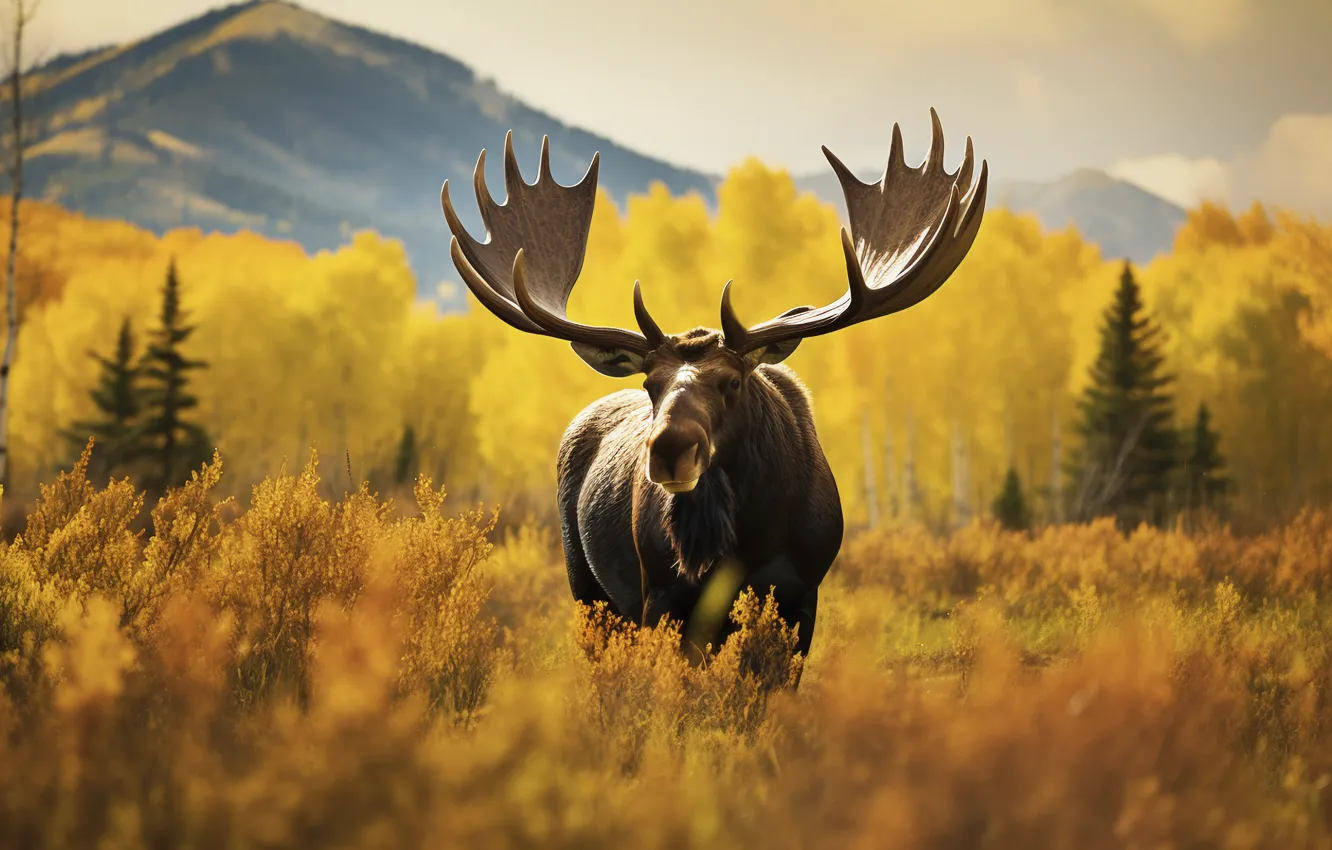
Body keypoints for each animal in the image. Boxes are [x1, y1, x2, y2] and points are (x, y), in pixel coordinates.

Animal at [440, 109, 987, 672]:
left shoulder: (802, 595)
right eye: (650, 384)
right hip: (587, 589)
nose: (669, 448)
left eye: (733, 380)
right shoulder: (659, 595)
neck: (742, 543)